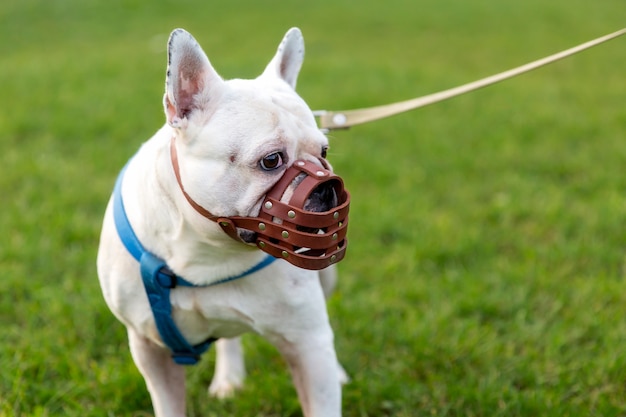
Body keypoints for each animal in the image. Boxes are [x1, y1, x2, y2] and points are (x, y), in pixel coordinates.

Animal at [98, 27, 352, 414]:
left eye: (323, 151)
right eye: (271, 160)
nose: (326, 187)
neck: (207, 250)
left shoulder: (307, 343)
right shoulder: (149, 348)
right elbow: (168, 405)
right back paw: (229, 379)